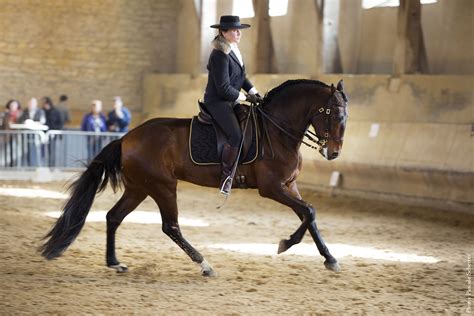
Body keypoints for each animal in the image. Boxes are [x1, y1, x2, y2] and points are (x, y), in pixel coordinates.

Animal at [39, 79, 348, 276]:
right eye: (333, 114)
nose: (333, 153)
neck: (277, 130)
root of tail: (127, 137)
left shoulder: (289, 186)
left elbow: (309, 215)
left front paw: (330, 259)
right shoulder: (272, 188)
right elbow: (310, 212)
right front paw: (286, 244)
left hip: (139, 188)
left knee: (114, 217)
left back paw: (114, 262)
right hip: (163, 187)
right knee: (171, 226)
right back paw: (205, 264)